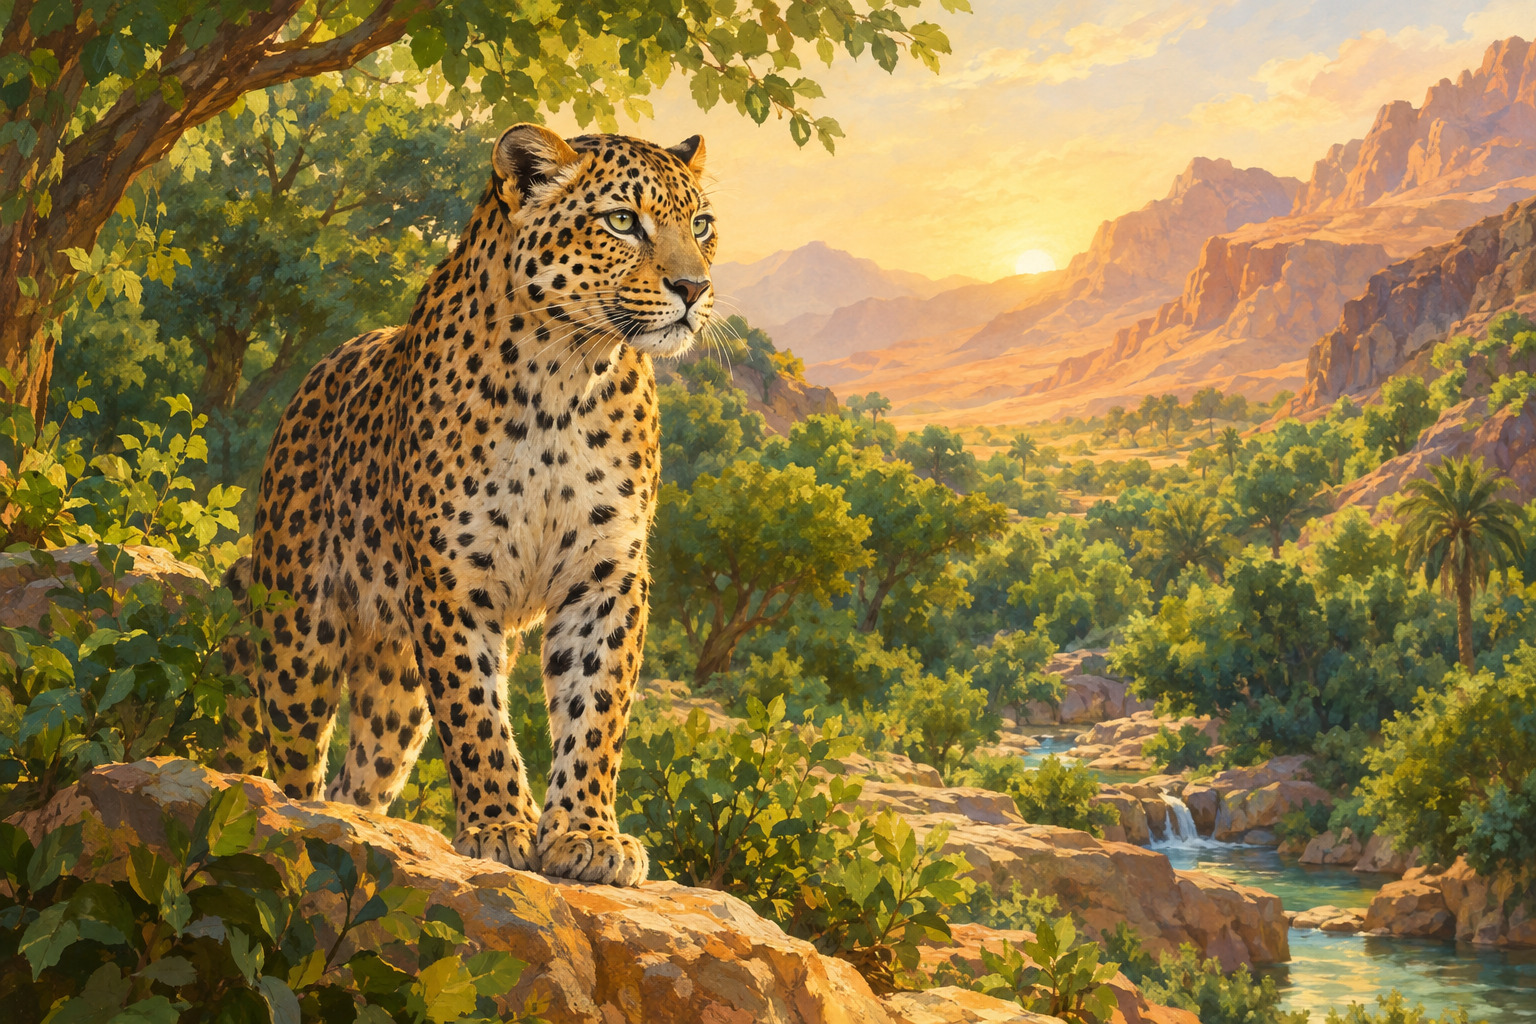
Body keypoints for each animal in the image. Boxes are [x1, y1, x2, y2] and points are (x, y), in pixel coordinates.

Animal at [221, 123, 716, 887]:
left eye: (702, 225)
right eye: (621, 221)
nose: (694, 287)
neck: (566, 378)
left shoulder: (605, 575)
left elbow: (595, 708)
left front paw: (587, 836)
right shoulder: (454, 577)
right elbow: (475, 713)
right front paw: (500, 828)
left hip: (395, 684)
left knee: (364, 776)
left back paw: (363, 826)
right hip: (300, 638)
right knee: (296, 761)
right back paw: (304, 823)